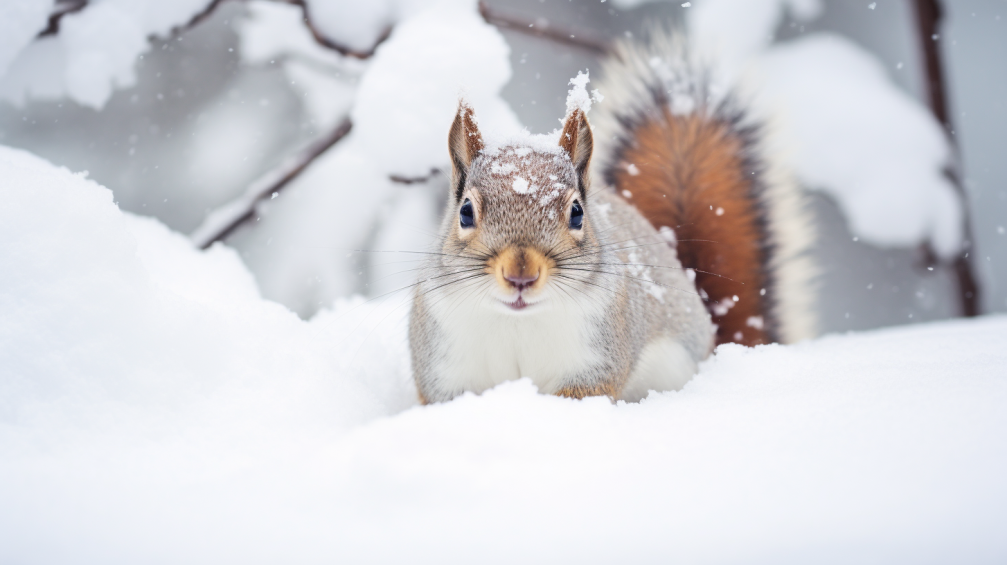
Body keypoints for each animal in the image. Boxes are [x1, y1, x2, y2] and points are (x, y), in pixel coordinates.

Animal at [404, 30, 813, 402]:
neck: (518, 321)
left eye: (577, 213)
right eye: (465, 212)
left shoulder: (596, 358)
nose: (521, 275)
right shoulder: (446, 368)